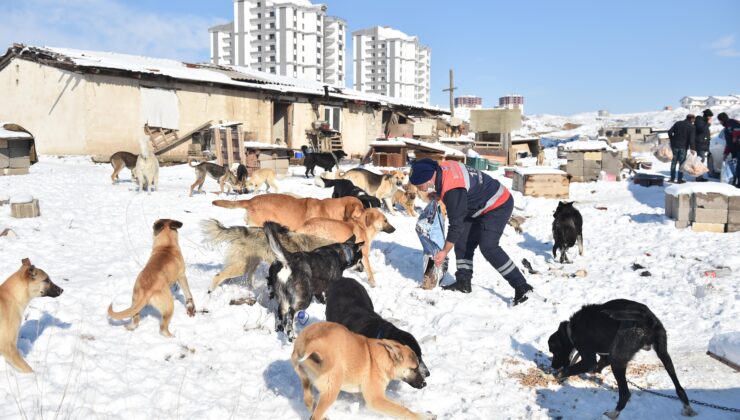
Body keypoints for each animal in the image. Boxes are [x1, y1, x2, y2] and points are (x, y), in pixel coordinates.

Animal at [199, 218, 332, 290]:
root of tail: (245, 231)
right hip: (242, 266)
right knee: (218, 276)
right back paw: (210, 293)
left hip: (252, 263)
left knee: (247, 277)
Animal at [292, 322, 436, 420]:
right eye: (414, 368)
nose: (425, 384)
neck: (381, 358)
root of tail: (310, 343)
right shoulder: (376, 399)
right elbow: (403, 410)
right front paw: (425, 416)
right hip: (331, 390)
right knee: (315, 415)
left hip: (306, 381)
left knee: (309, 402)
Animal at [548, 300, 696, 418]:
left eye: (553, 350)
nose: (553, 366)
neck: (571, 330)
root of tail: (646, 319)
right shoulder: (604, 355)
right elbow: (597, 365)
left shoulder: (589, 358)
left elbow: (572, 368)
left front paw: (558, 375)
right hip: (664, 354)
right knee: (679, 387)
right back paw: (687, 407)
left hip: (617, 361)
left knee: (625, 394)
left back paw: (613, 413)